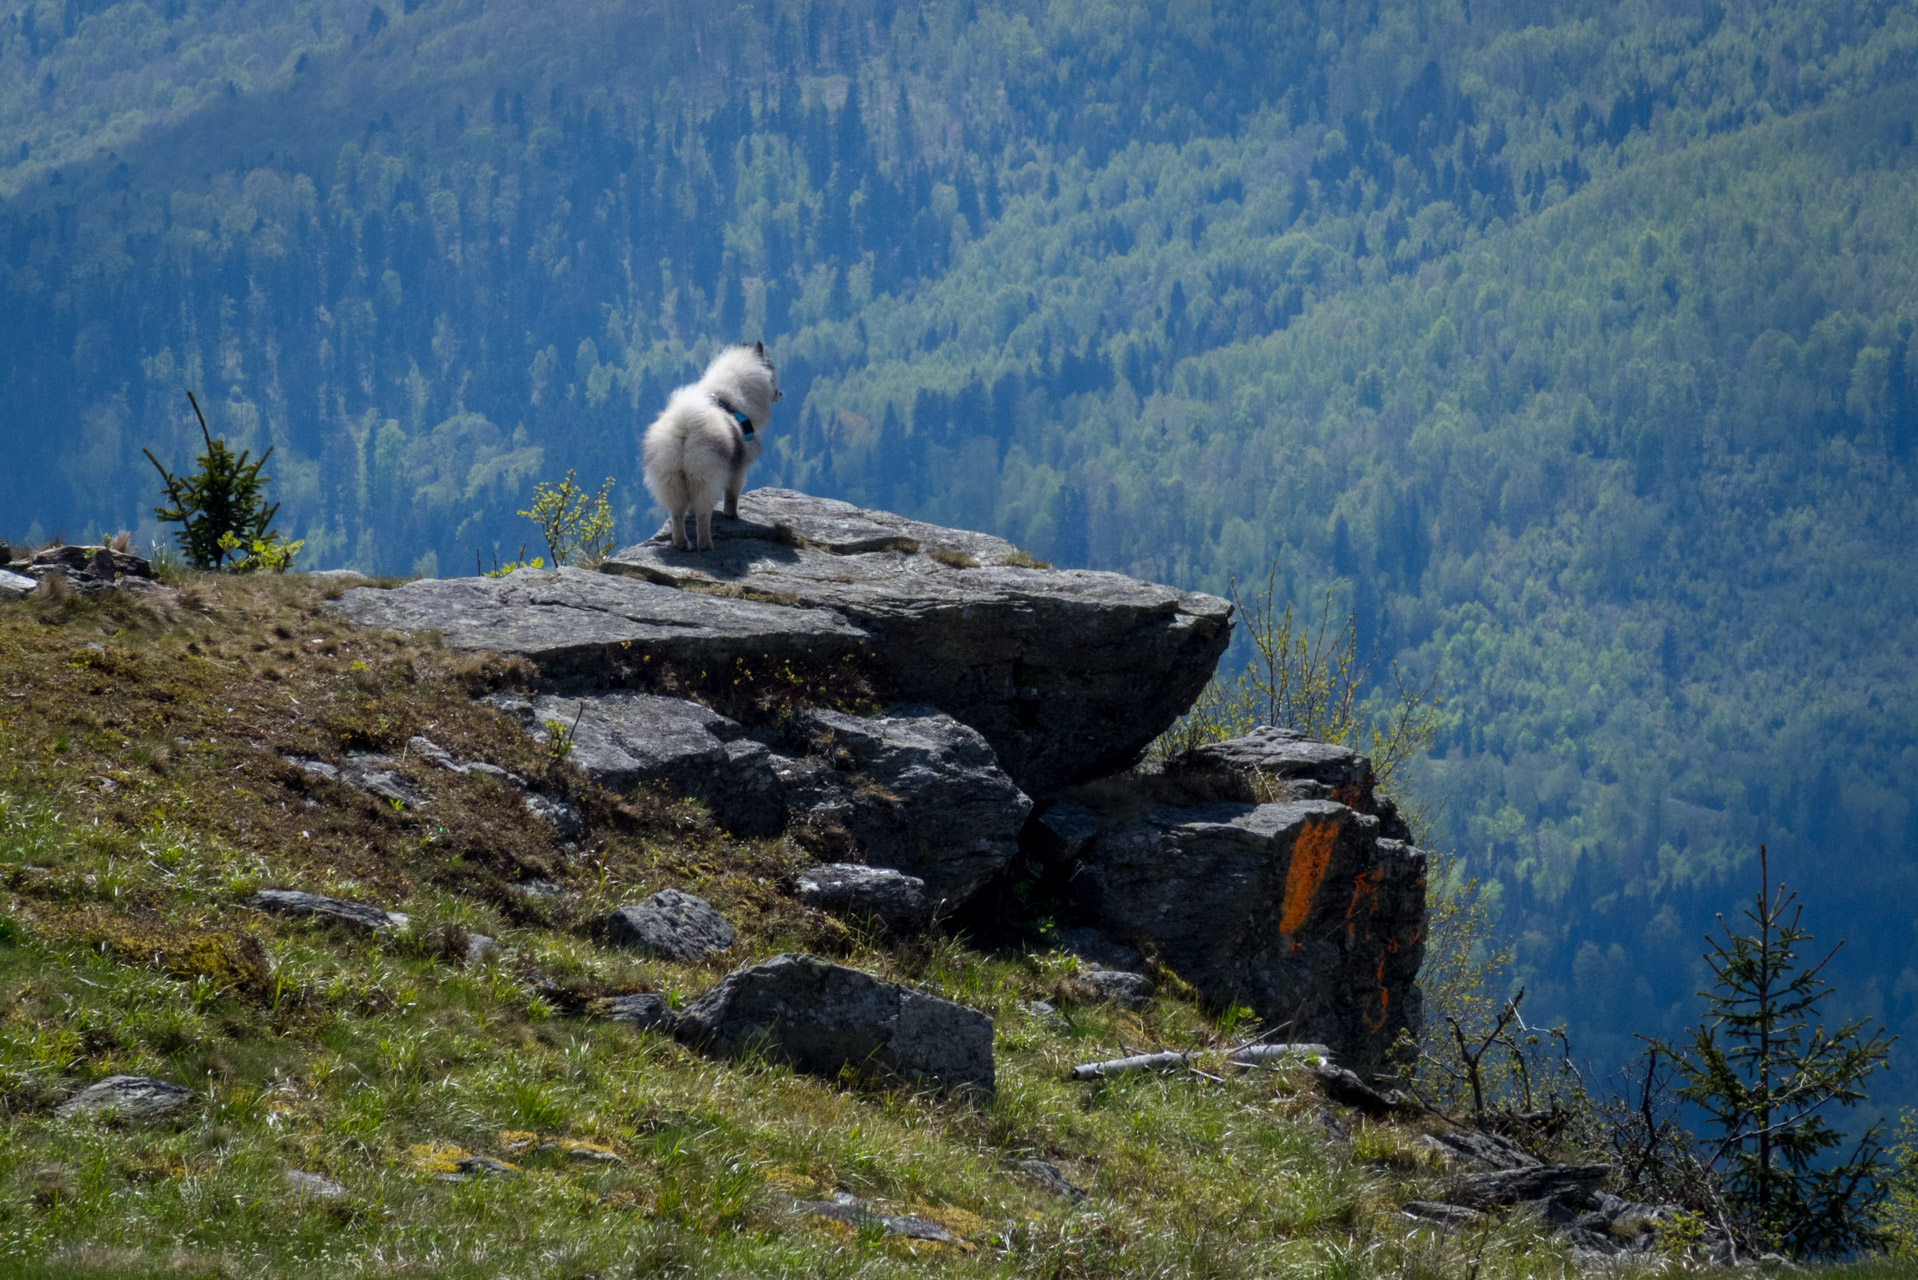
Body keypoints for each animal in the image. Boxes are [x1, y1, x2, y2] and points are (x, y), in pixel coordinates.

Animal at [644, 343, 778, 548]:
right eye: (773, 375)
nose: (780, 393)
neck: (730, 400)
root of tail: (685, 428)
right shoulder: (738, 469)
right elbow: (732, 494)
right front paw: (732, 515)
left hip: (670, 478)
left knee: (676, 513)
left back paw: (682, 543)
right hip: (706, 478)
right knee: (703, 514)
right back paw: (706, 544)